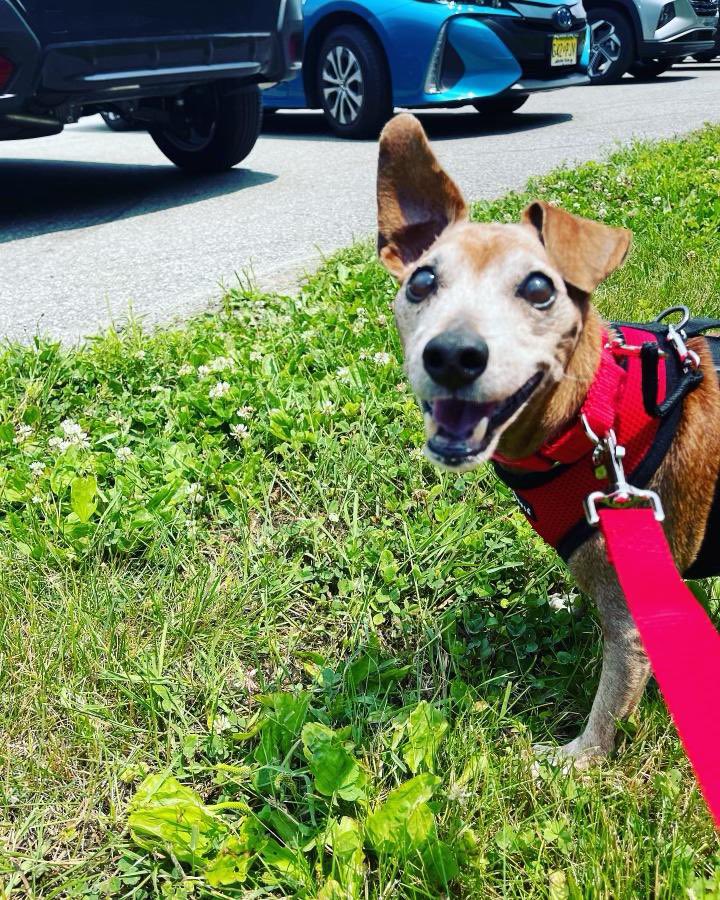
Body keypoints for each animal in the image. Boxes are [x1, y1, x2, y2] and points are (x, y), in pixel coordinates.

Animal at [376, 109, 720, 764]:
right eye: (421, 282)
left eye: (539, 289)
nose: (452, 354)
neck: (595, 415)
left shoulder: (637, 620)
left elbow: (609, 707)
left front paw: (574, 763)